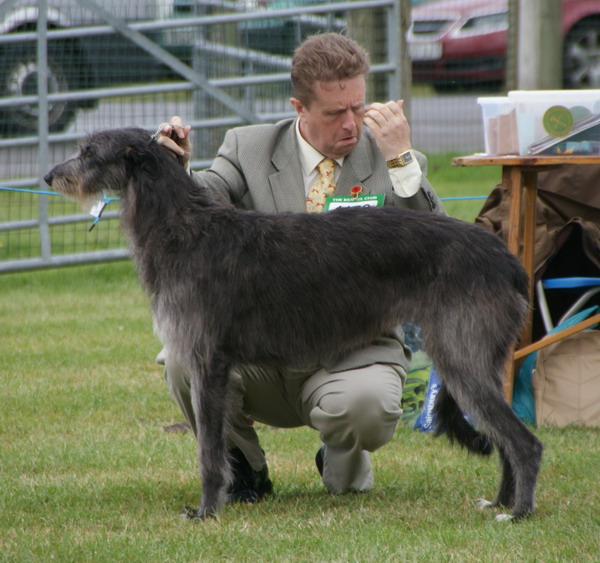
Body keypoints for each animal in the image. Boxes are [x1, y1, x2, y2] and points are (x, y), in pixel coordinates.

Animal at [45, 126, 544, 520]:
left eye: (89, 151)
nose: (49, 176)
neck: (184, 227)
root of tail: (505, 259)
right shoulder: (211, 364)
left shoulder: (207, 361)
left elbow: (208, 451)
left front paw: (206, 511)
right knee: (505, 439)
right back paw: (500, 501)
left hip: (461, 354)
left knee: (524, 442)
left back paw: (517, 513)